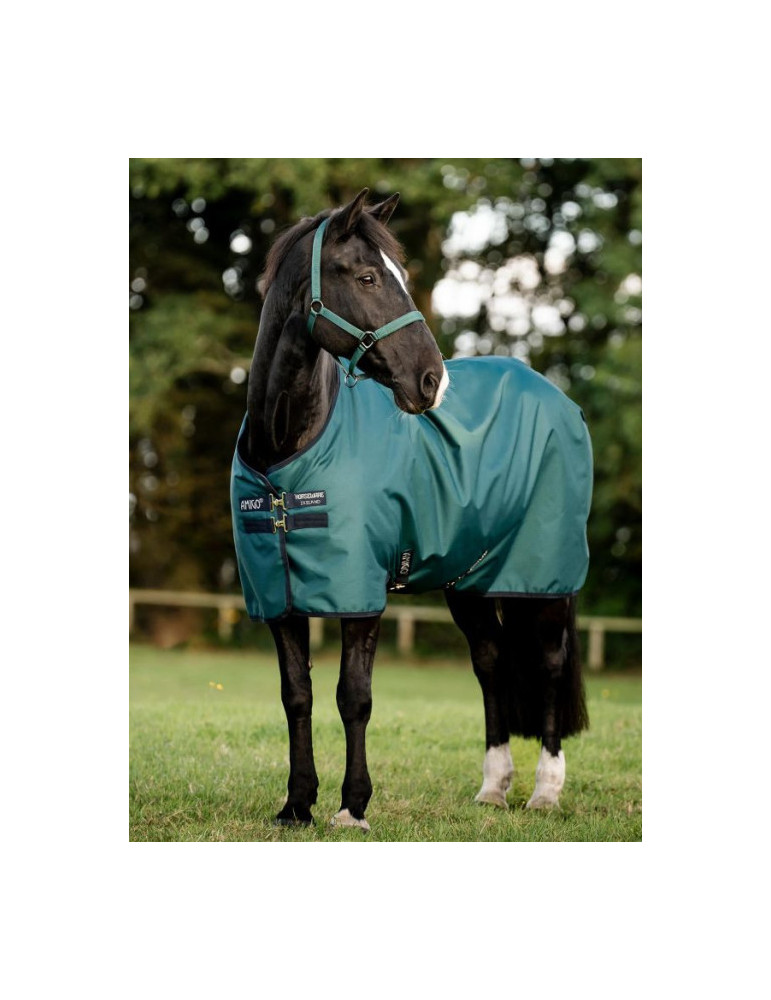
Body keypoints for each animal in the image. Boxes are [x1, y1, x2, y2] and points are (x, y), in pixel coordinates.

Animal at [231, 188, 592, 830]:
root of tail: (557, 397)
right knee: (491, 662)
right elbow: (297, 695)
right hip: (470, 581)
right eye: (368, 276)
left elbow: (354, 696)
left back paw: (545, 791)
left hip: (544, 578)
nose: (431, 381)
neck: (287, 454)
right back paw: (493, 788)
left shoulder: (361, 593)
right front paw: (297, 805)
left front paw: (353, 807)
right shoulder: (278, 597)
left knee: (549, 665)